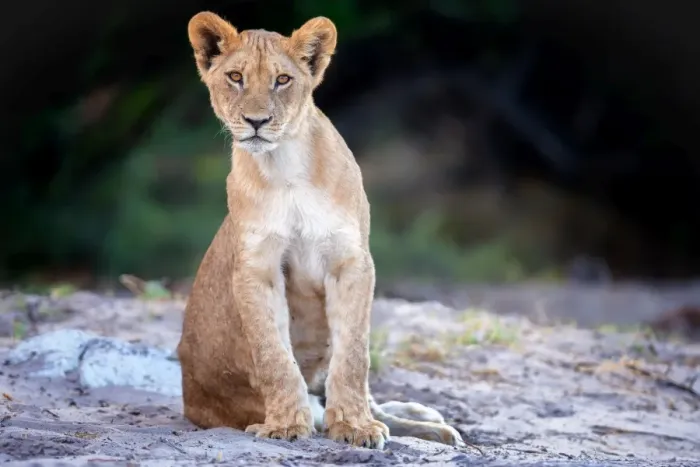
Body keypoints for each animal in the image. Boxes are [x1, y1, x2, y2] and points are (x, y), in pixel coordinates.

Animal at [176, 11, 466, 450]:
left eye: (282, 79)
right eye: (235, 77)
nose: (257, 122)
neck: (284, 166)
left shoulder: (351, 260)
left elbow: (354, 355)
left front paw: (356, 426)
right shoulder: (256, 268)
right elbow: (274, 354)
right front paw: (284, 424)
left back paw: (430, 423)